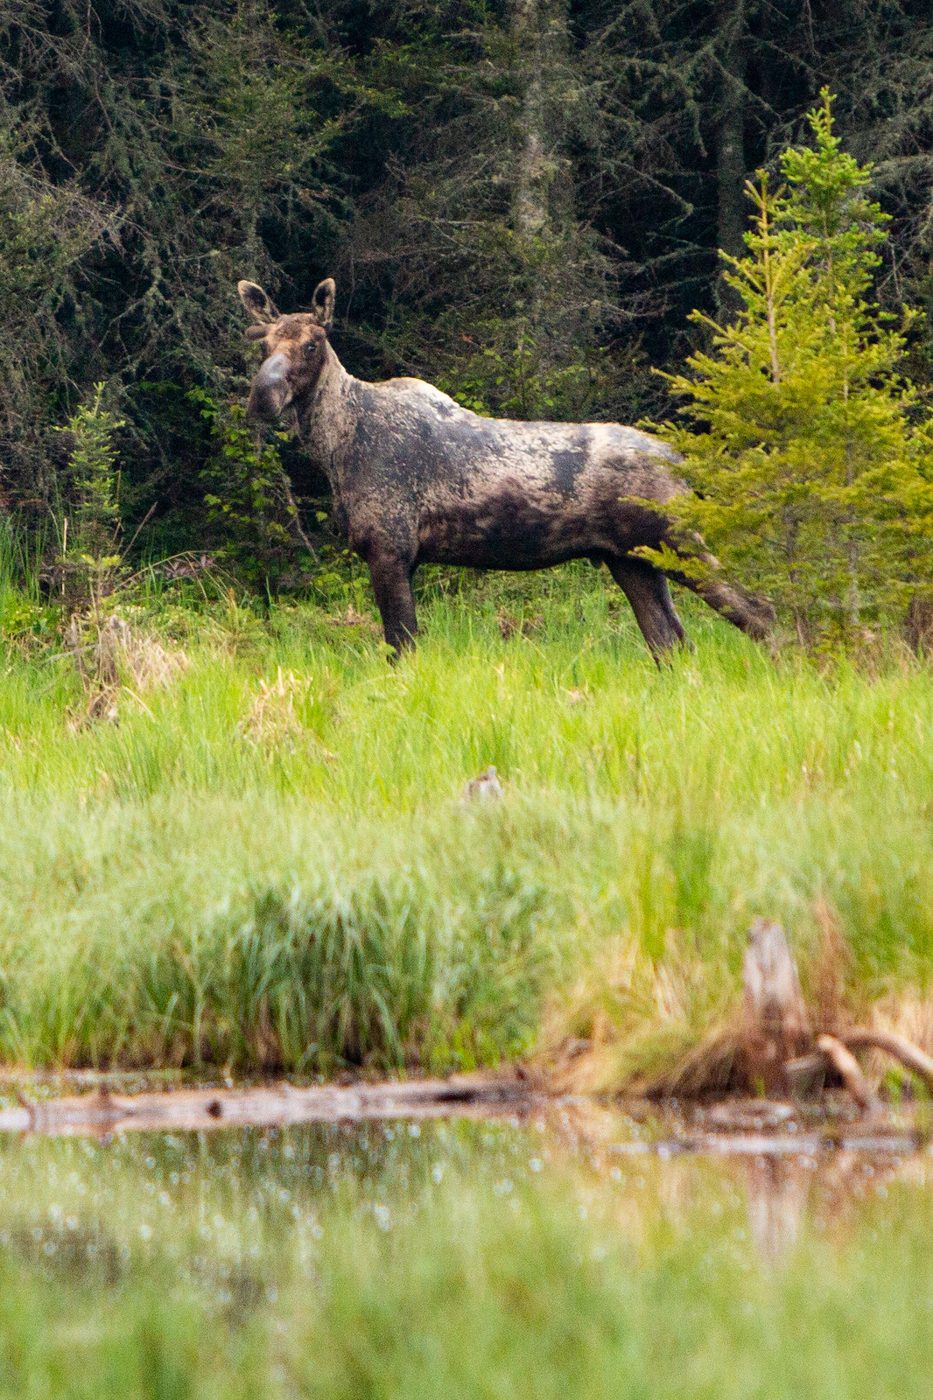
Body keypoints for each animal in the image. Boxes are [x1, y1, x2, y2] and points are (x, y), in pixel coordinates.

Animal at [238, 276, 773, 657]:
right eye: (262, 346)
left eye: (312, 344)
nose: (262, 397)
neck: (337, 448)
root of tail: (681, 460)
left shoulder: (389, 548)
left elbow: (402, 650)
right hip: (633, 560)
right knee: (673, 644)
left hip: (678, 540)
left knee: (761, 611)